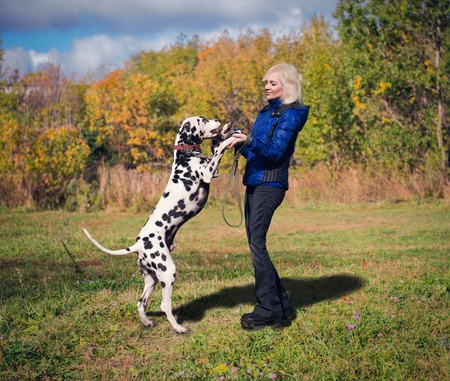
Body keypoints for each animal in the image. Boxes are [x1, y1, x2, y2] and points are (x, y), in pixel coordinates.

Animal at [83, 116, 236, 332]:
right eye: (203, 120)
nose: (218, 119)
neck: (185, 154)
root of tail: (138, 245)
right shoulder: (207, 173)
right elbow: (220, 148)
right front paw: (228, 138)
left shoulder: (213, 172)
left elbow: (216, 145)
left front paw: (225, 131)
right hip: (168, 272)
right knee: (164, 305)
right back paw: (179, 328)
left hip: (152, 278)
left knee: (140, 302)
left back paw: (147, 322)